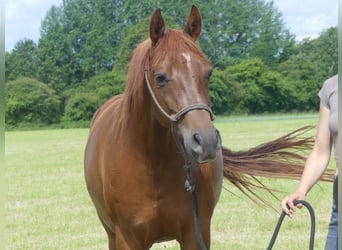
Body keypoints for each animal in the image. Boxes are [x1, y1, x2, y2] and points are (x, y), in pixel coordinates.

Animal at [84, 4, 332, 249]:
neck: (152, 164)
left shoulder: (196, 233)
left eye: (208, 73)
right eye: (160, 77)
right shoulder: (128, 238)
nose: (206, 142)